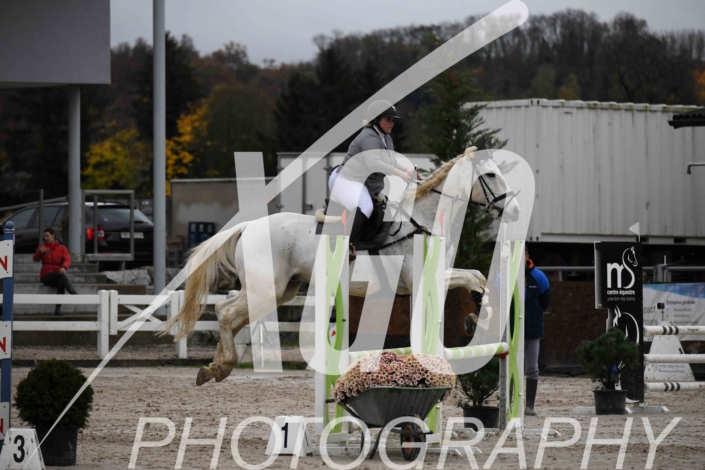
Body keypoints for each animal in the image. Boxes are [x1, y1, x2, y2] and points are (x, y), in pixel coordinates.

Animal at [163, 147, 521, 385]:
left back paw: (215, 367)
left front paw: (477, 316)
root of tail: (249, 225)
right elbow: (474, 278)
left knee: (232, 316)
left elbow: (476, 276)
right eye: (491, 175)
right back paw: (221, 367)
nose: (516, 211)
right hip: (267, 288)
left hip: (283, 291)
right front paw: (477, 317)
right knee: (224, 312)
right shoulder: (423, 278)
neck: (421, 220)